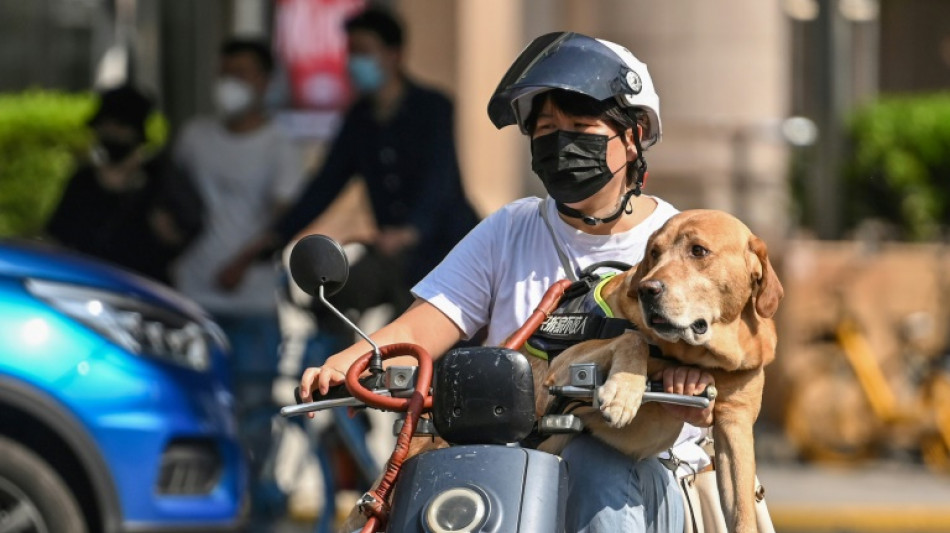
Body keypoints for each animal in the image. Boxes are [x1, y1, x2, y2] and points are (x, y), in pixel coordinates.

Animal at [540, 209, 784, 532]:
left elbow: (743, 513)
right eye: (654, 253)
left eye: (698, 251)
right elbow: (633, 338)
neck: (701, 355)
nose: (647, 289)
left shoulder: (736, 424)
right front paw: (623, 392)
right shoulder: (560, 366)